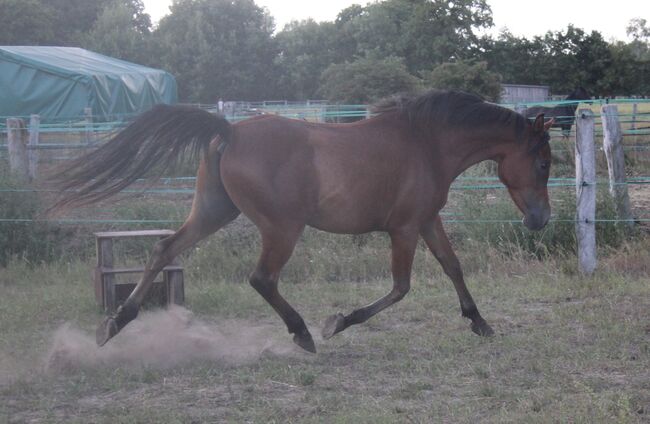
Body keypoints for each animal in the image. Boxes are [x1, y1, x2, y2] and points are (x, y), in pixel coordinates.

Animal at [53, 91, 556, 352]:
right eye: (544, 162)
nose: (541, 220)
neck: (426, 144)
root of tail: (229, 130)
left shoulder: (428, 221)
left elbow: (454, 267)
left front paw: (480, 323)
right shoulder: (404, 229)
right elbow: (400, 288)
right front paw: (337, 322)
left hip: (215, 211)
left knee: (163, 249)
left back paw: (115, 323)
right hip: (281, 229)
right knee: (262, 278)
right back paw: (302, 333)